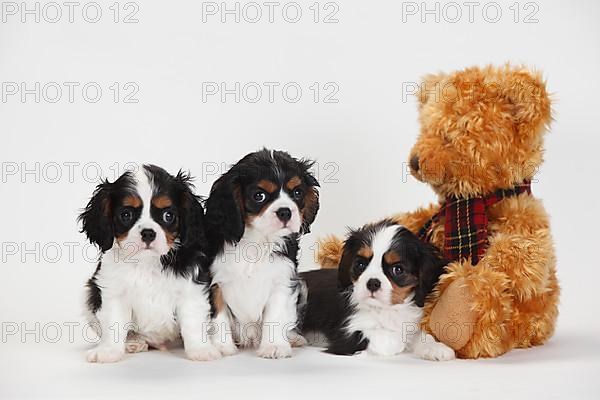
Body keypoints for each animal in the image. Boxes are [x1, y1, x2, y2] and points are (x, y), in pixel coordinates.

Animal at [79, 165, 220, 362]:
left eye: (168, 215)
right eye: (126, 215)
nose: (148, 233)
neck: (147, 262)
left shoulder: (190, 289)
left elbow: (192, 322)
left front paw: (200, 349)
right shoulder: (114, 292)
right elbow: (113, 324)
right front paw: (108, 351)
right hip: (89, 295)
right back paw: (133, 342)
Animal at [205, 150, 322, 360]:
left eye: (297, 193)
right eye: (259, 196)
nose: (285, 211)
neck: (257, 241)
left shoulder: (282, 280)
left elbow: (275, 315)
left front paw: (274, 346)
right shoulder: (214, 281)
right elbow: (219, 316)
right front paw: (222, 346)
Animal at [300, 220, 454, 360]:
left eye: (398, 269)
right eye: (360, 265)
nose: (373, 283)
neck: (387, 310)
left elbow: (419, 335)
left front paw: (436, 347)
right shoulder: (347, 337)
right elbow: (382, 338)